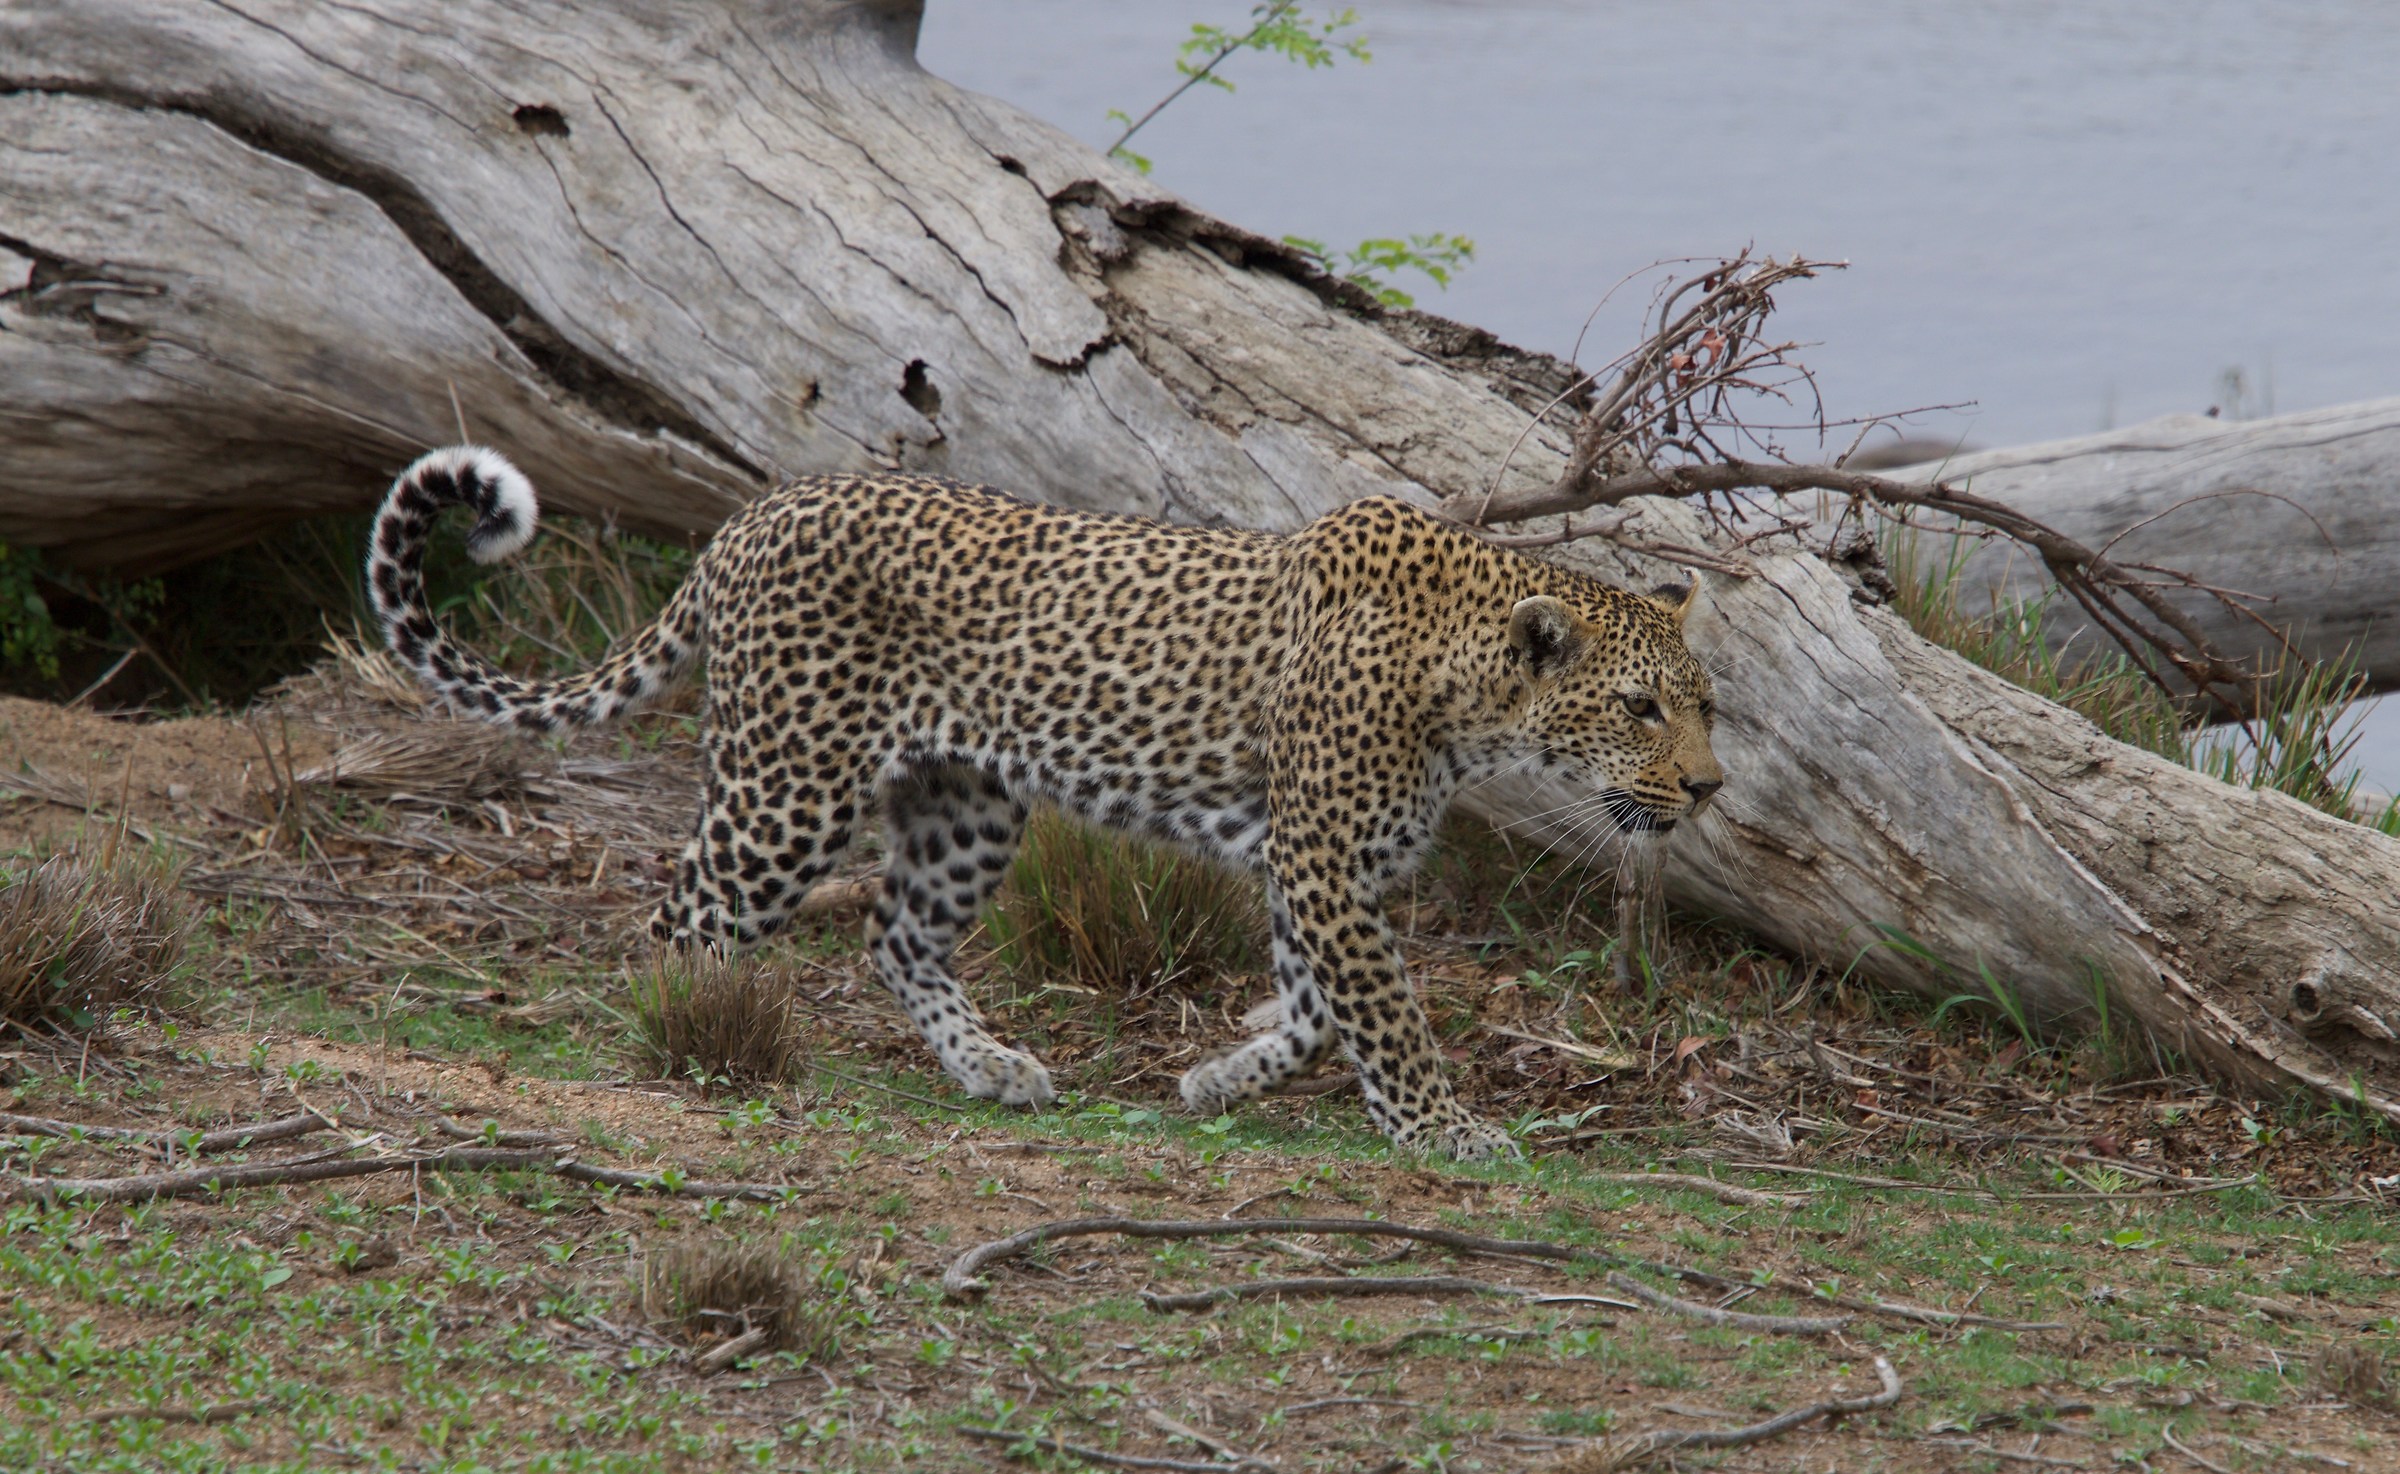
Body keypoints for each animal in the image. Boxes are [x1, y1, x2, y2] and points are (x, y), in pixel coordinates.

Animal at [366, 446, 1724, 1160]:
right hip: (786, 785)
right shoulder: (1325, 860)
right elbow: (1383, 1014)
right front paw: (1446, 1129)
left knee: (894, 933)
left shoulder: (1323, 869)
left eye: (1706, 705)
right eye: (1642, 709)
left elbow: (1314, 1008)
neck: (1473, 695)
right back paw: (696, 1040)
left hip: (967, 804)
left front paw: (1217, 1080)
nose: (1709, 786)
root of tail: (750, 515)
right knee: (682, 916)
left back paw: (991, 1066)